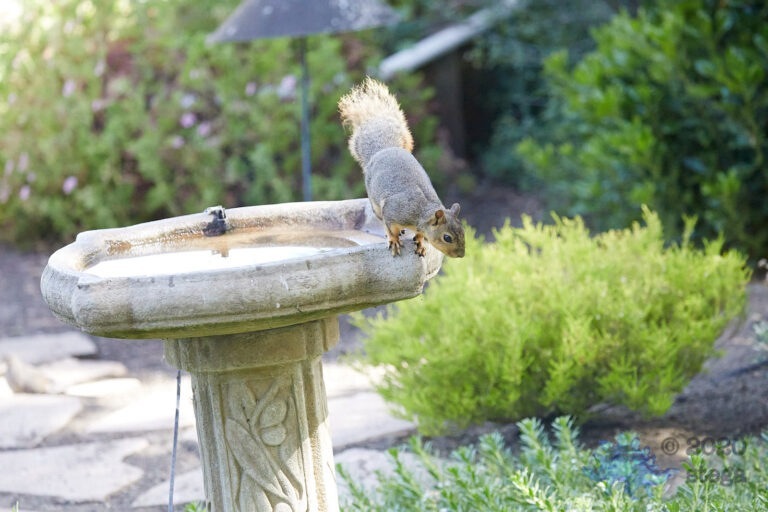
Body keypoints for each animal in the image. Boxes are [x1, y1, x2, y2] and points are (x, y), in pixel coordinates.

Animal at [338, 77, 465, 258]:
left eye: (463, 231)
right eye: (447, 237)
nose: (461, 255)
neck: (421, 212)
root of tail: (384, 150)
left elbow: (419, 235)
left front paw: (420, 242)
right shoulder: (393, 211)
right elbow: (390, 227)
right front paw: (393, 240)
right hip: (375, 204)